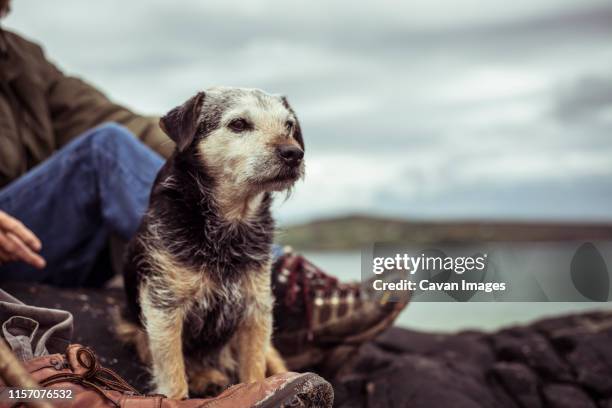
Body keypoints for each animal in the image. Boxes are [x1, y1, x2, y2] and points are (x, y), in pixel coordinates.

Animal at [117, 87, 304, 398]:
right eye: (238, 124)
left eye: (289, 125)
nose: (294, 153)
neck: (229, 227)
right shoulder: (163, 307)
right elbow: (174, 373)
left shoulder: (256, 308)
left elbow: (254, 367)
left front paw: (259, 391)